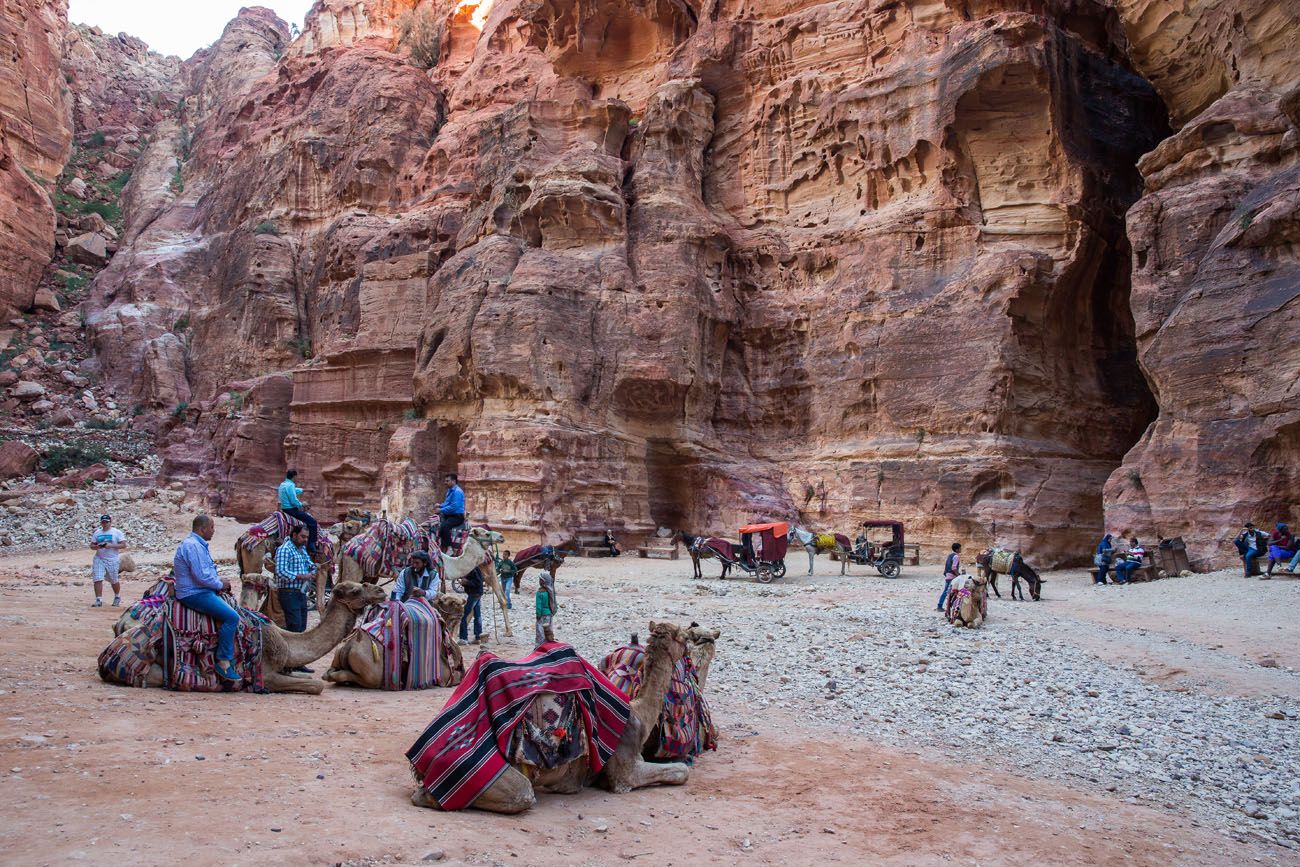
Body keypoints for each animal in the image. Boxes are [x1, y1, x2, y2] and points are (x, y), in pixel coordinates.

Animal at [100, 582, 384, 696]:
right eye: (356, 589)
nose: (381, 592)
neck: (286, 640)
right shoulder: (265, 673)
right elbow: (316, 686)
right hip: (151, 671)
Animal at [322, 592, 465, 686]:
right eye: (452, 603)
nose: (463, 606)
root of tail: (350, 645)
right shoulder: (445, 676)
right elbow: (459, 677)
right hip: (372, 676)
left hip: (339, 653)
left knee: (329, 673)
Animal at [408, 623, 696, 816]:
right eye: (683, 638)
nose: (693, 639)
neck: (639, 714)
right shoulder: (624, 771)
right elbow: (681, 772)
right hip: (483, 776)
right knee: (521, 794)